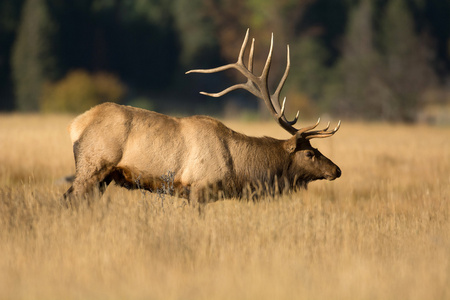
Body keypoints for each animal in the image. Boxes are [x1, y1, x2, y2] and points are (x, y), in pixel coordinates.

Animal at [61, 29, 340, 206]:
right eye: (310, 153)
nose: (336, 170)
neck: (237, 168)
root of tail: (75, 125)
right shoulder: (198, 187)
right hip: (92, 166)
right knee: (69, 199)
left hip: (103, 177)